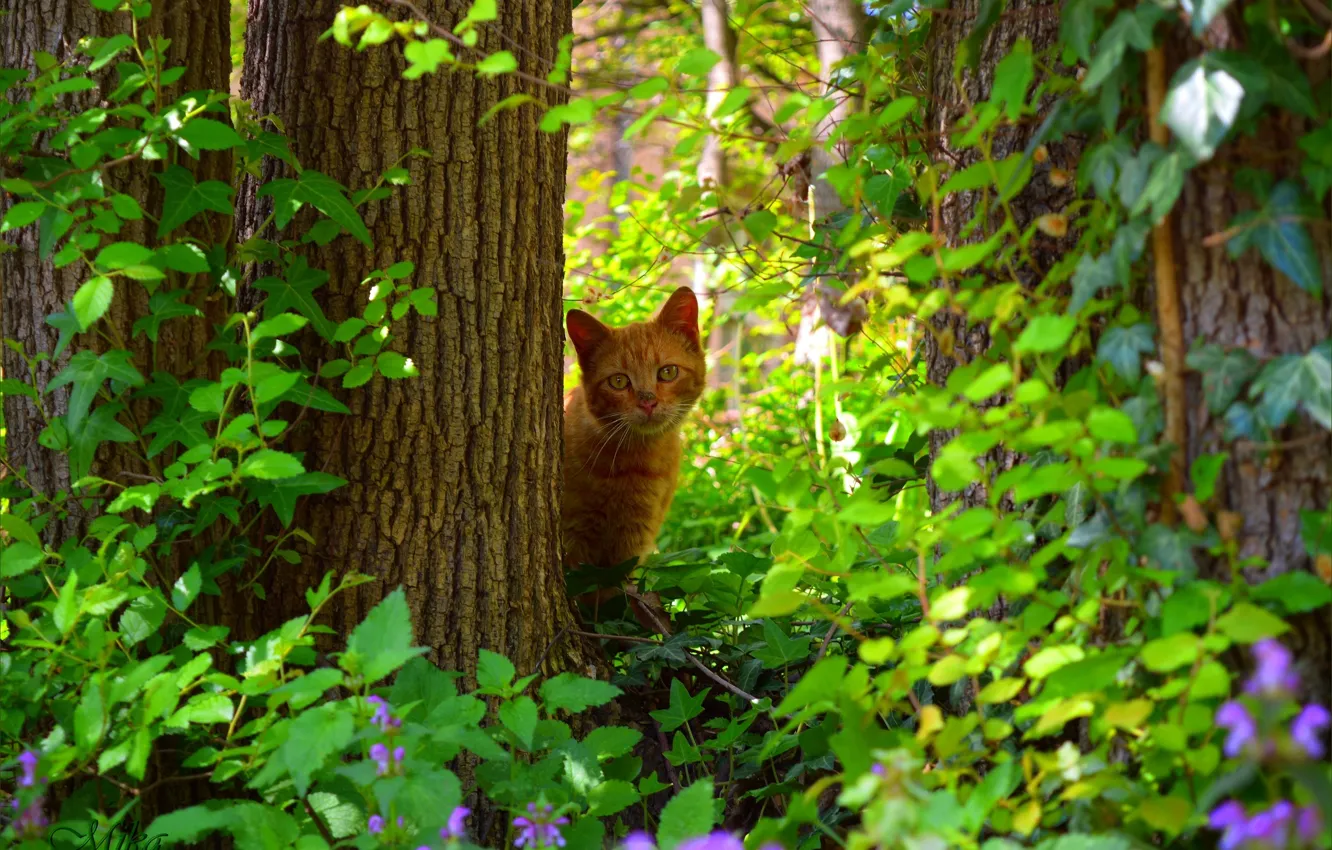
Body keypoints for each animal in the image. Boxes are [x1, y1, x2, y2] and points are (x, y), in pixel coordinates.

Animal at [562, 290, 708, 636]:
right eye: (618, 381)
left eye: (667, 372)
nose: (647, 401)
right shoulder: (575, 542)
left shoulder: (631, 546)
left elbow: (617, 600)